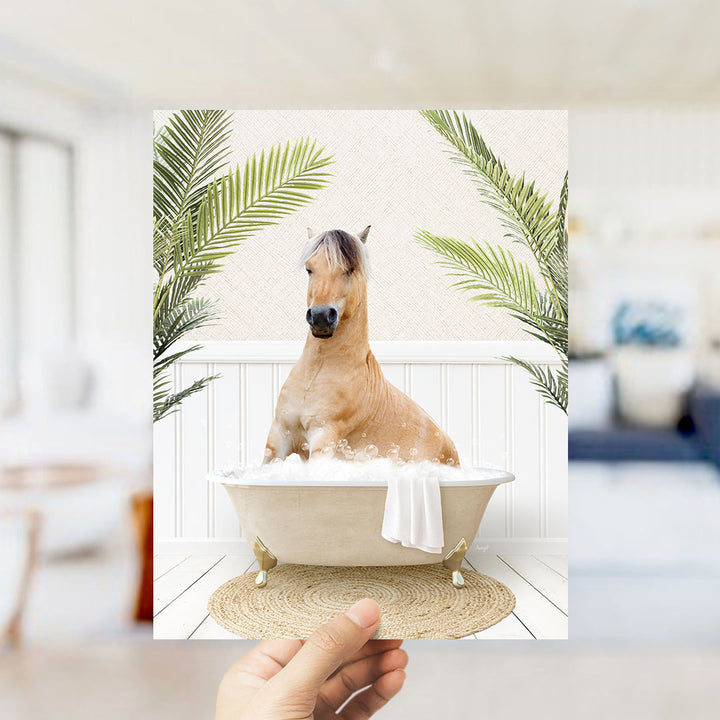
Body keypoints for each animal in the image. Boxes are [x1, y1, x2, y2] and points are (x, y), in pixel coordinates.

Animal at [263, 226, 460, 466]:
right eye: (310, 269)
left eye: (349, 269)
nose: (320, 317)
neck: (316, 374)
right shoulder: (278, 437)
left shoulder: (323, 438)